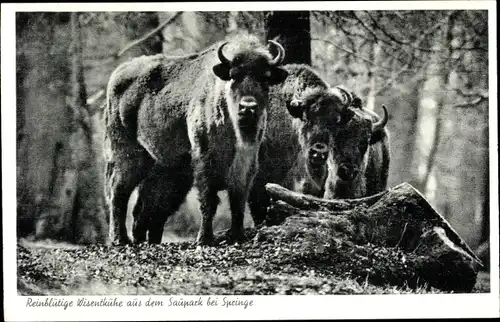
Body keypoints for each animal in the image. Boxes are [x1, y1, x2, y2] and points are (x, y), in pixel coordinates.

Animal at [103, 35, 288, 245]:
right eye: (234, 75)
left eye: (265, 77)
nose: (248, 107)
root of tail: (118, 74)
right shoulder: (204, 160)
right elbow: (209, 201)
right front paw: (205, 239)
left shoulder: (246, 165)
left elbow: (238, 200)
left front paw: (237, 236)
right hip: (127, 156)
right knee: (119, 192)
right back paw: (120, 239)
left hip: (166, 168)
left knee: (150, 206)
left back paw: (145, 241)